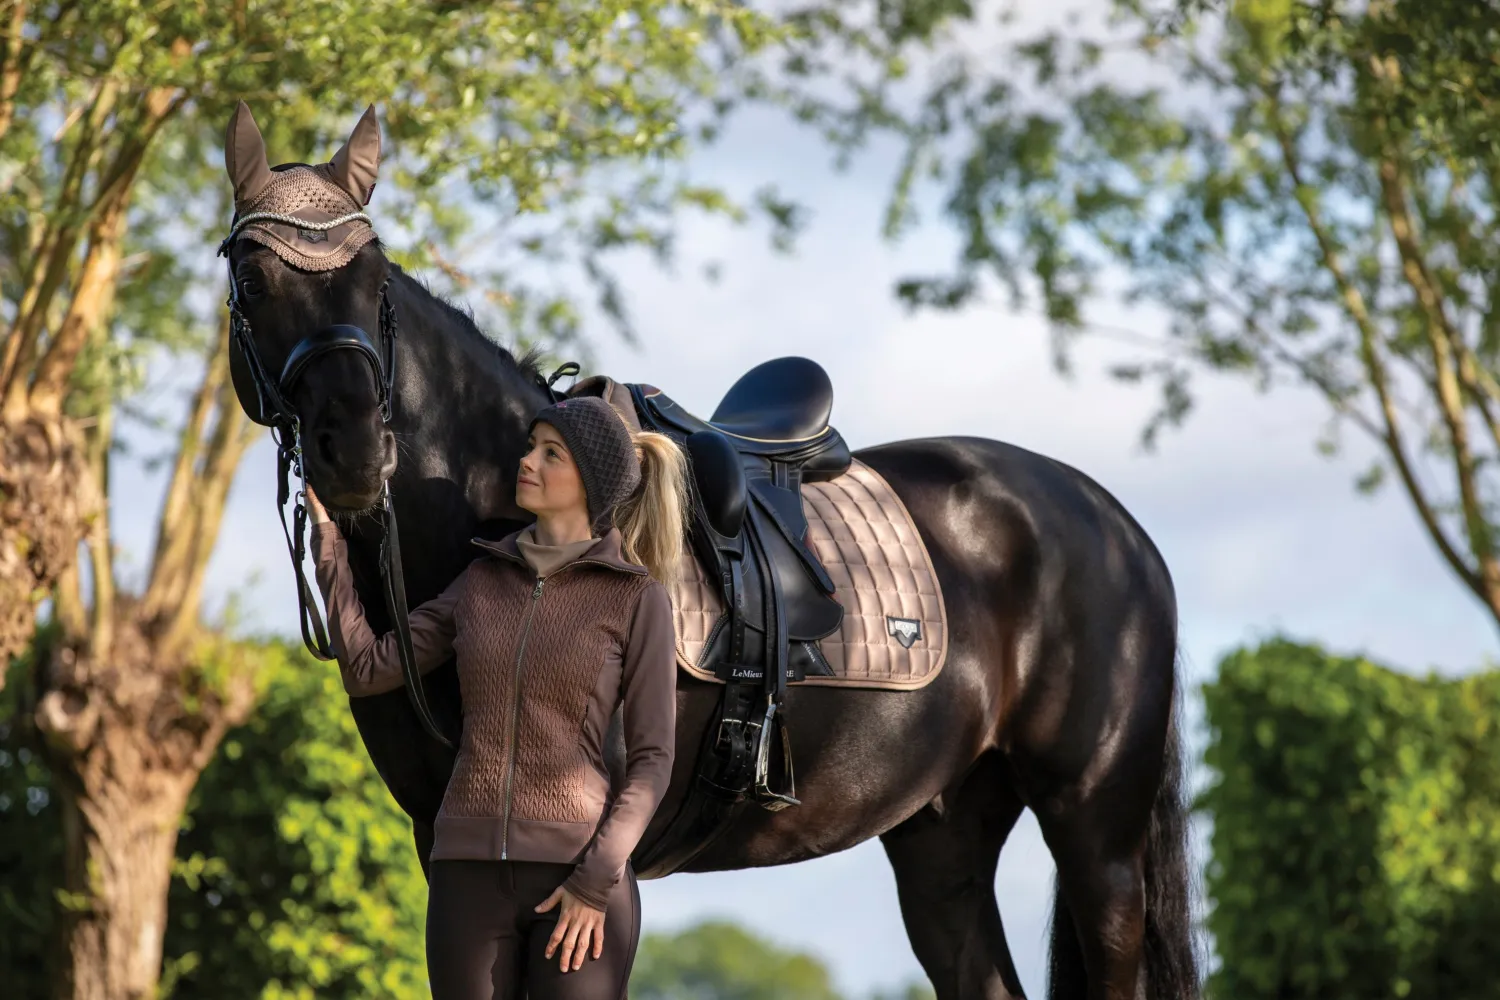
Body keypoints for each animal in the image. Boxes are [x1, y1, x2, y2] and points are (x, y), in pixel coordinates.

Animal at [220, 104, 1198, 1000]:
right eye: (253, 279)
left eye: (374, 275)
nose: (355, 453)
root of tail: (1113, 523)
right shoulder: (444, 845)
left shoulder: (601, 858)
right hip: (942, 840)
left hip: (1097, 838)